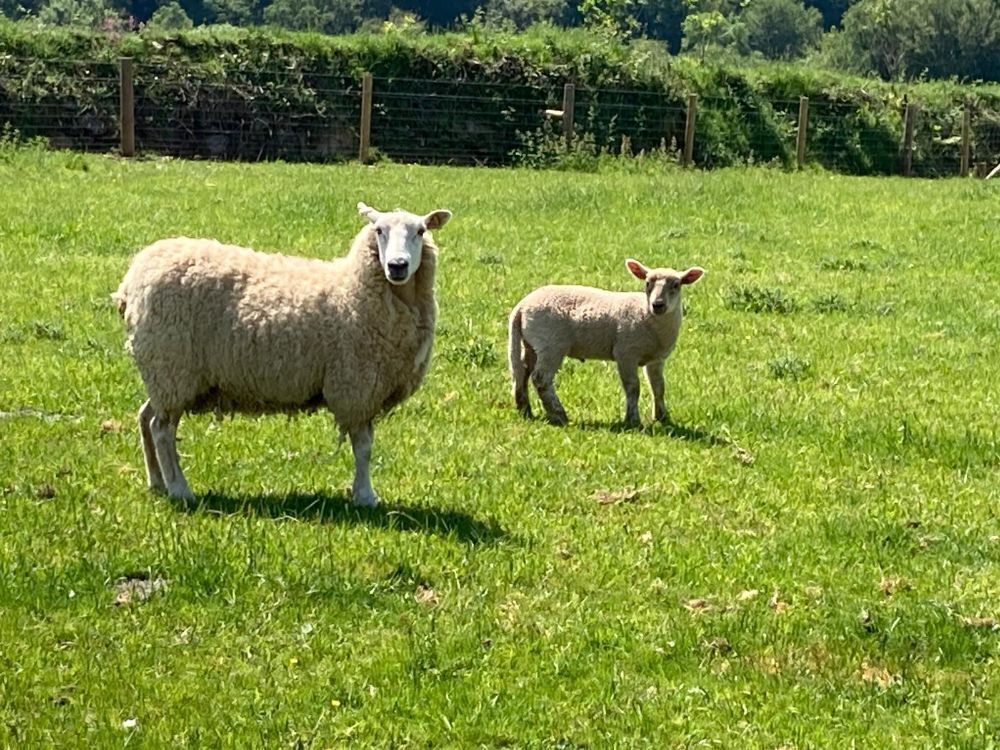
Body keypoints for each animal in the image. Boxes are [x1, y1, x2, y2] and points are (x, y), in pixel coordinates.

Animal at [113, 202, 452, 507]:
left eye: (421, 231)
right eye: (379, 230)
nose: (397, 265)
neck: (354, 290)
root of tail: (132, 279)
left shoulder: (364, 390)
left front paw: (363, 493)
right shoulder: (356, 386)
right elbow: (364, 447)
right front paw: (365, 496)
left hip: (165, 375)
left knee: (145, 417)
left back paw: (157, 482)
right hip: (171, 367)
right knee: (162, 430)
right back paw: (179, 489)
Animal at [508, 259, 704, 428]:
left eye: (676, 285)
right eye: (647, 283)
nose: (658, 305)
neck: (646, 315)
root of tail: (521, 307)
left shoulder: (656, 359)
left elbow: (658, 387)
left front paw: (663, 417)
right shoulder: (625, 353)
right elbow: (633, 387)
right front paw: (632, 420)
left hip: (532, 344)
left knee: (522, 372)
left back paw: (525, 409)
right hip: (551, 344)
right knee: (541, 378)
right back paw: (559, 415)